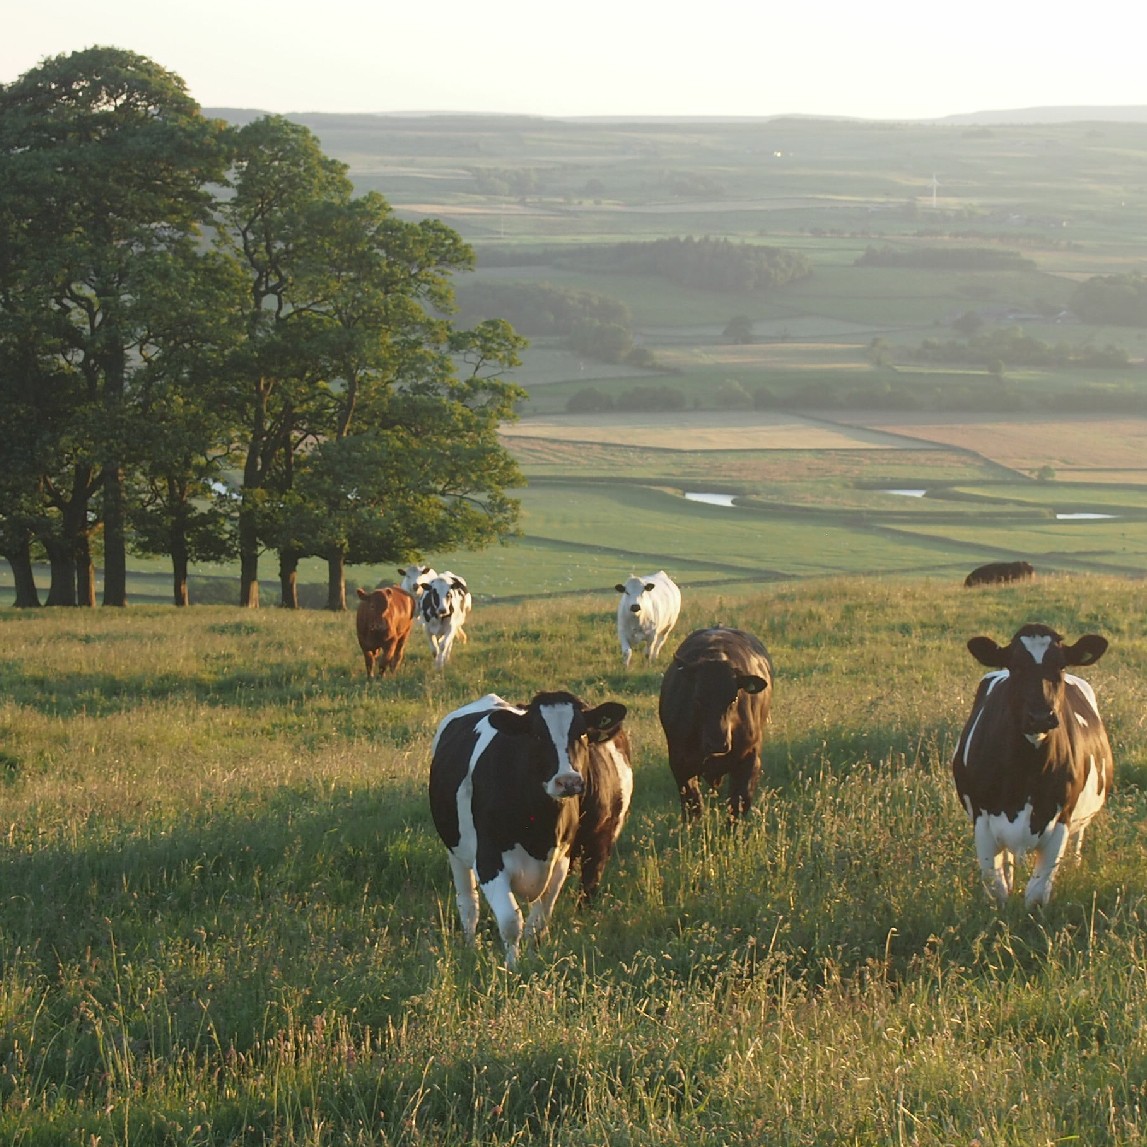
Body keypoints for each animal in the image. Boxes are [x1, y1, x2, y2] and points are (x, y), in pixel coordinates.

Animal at [428, 688, 633, 968]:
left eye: (581, 732)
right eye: (537, 735)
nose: (568, 781)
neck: (539, 828)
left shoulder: (562, 861)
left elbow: (537, 923)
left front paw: (533, 960)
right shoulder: (488, 861)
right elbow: (511, 922)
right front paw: (511, 967)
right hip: (455, 851)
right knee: (468, 905)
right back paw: (470, 947)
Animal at [660, 628, 775, 825]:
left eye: (734, 698)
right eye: (697, 697)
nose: (718, 744)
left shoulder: (750, 759)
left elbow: (738, 804)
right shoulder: (680, 763)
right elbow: (693, 804)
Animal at [949, 623, 1110, 908]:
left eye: (1060, 665)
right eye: (1016, 666)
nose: (1040, 716)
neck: (1025, 773)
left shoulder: (1061, 820)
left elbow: (1036, 895)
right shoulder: (982, 820)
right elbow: (997, 890)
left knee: (1077, 844)